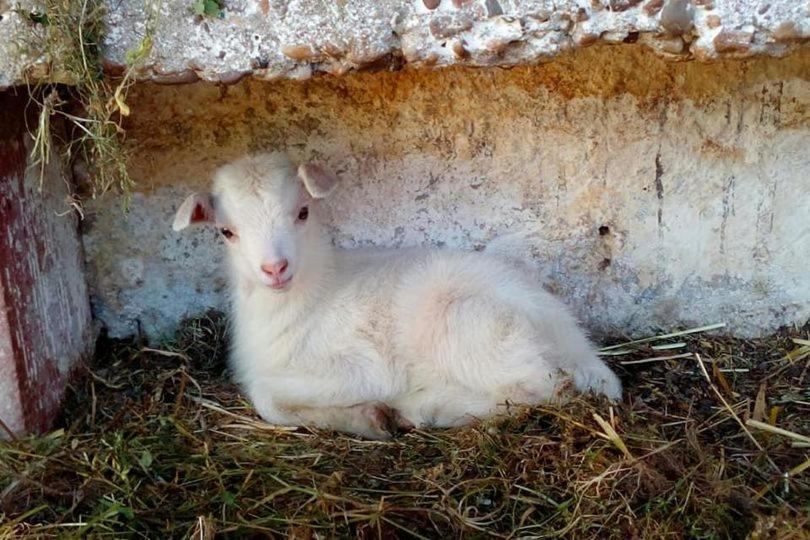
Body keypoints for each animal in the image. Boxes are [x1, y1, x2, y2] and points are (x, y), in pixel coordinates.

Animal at [174, 153, 620, 438]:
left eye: (302, 212)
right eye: (226, 231)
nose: (275, 268)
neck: (312, 296)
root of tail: (574, 339)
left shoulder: (362, 366)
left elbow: (265, 397)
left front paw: (371, 418)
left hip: (466, 325)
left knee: (545, 386)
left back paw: (427, 407)